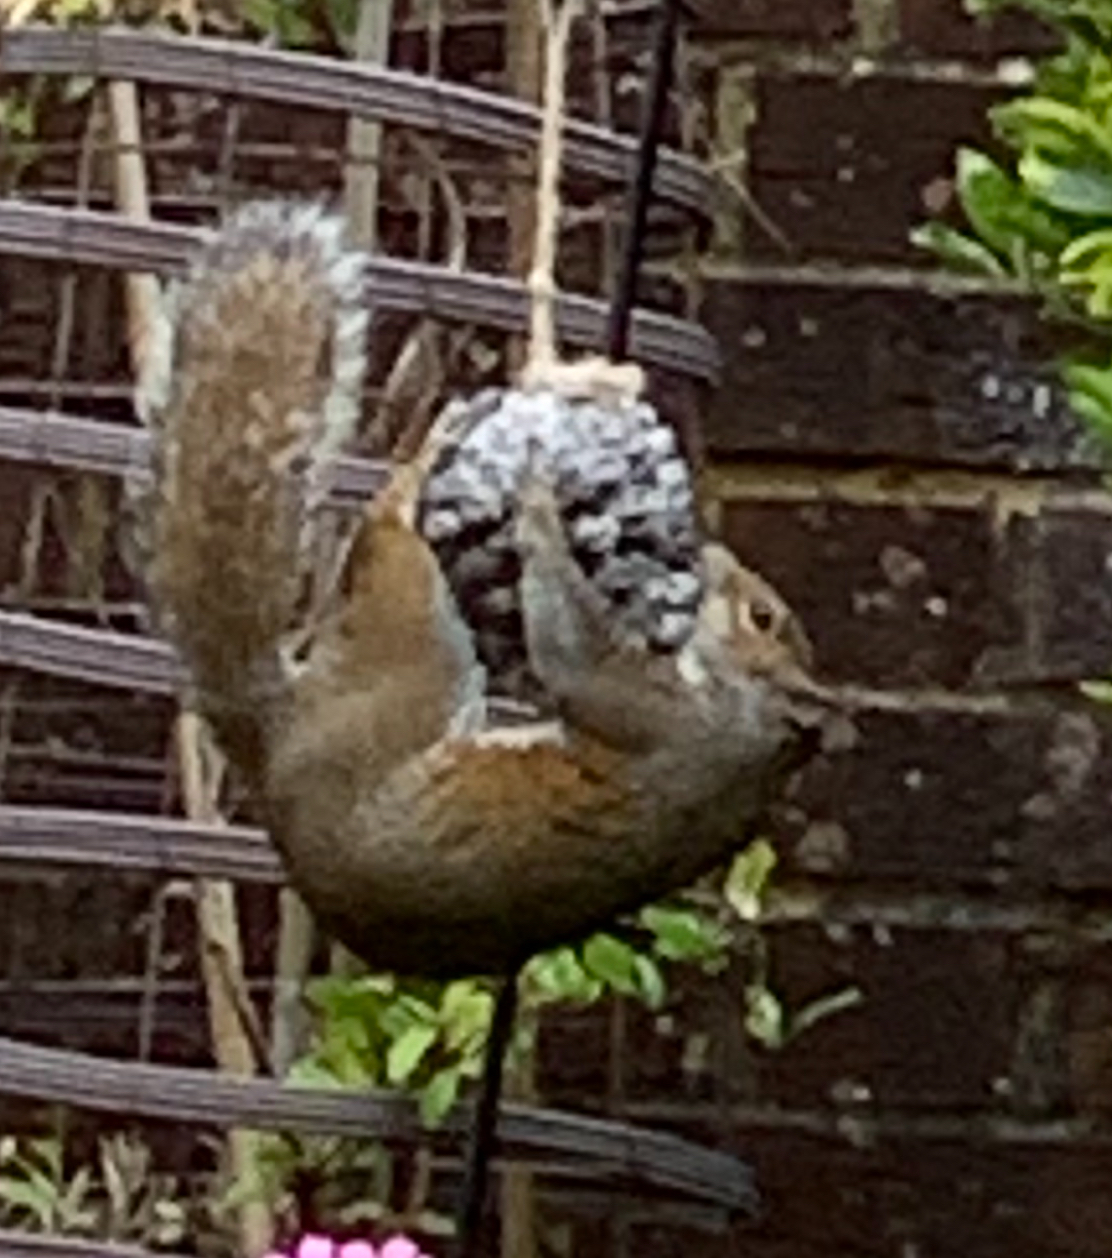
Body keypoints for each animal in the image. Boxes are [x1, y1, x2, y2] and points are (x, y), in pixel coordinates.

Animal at [139, 202, 834, 979]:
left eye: (761, 616)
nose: (715, 558)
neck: (746, 732)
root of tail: (274, 745)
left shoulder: (657, 716)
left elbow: (573, 655)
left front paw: (536, 506)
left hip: (410, 657)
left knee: (394, 552)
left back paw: (416, 467)